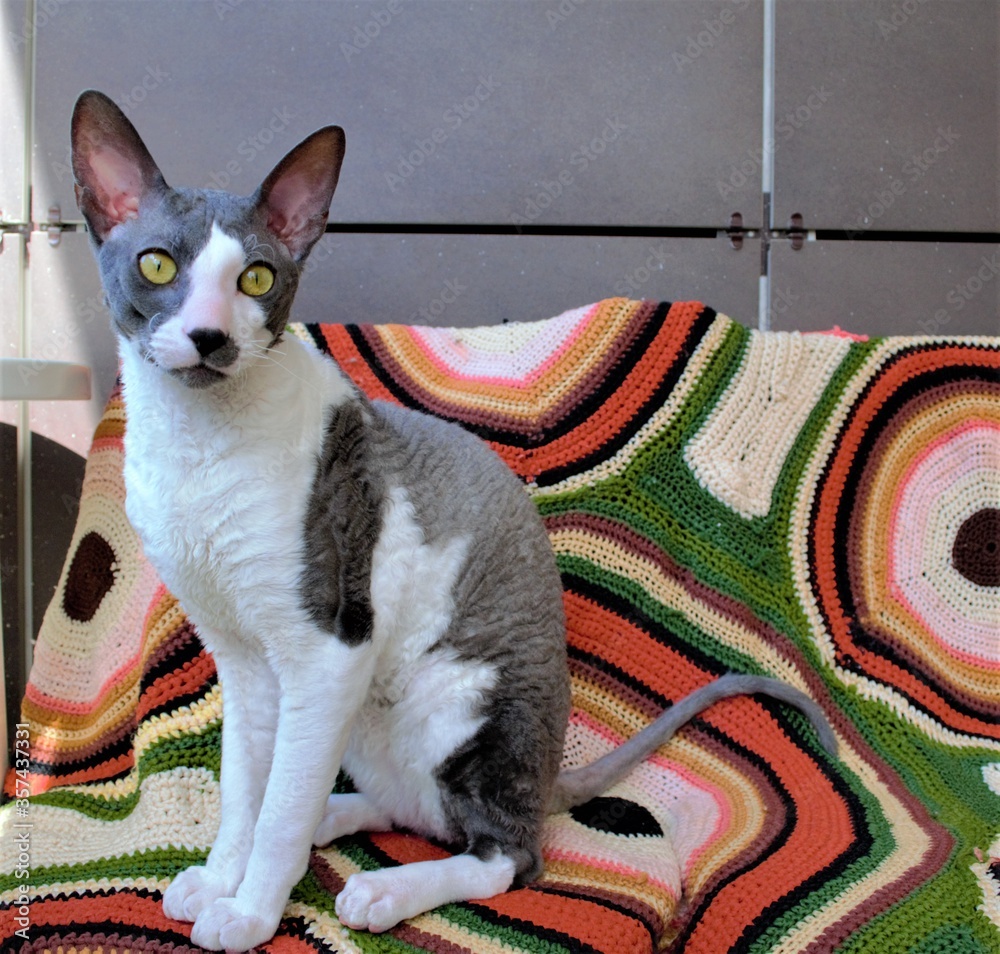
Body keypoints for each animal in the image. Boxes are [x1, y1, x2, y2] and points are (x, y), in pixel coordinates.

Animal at [68, 87, 836, 944]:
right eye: (157, 265)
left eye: (258, 279)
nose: (209, 337)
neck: (196, 445)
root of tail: (547, 775)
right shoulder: (240, 655)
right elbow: (247, 791)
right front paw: (222, 880)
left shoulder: (325, 648)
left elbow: (277, 810)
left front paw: (251, 913)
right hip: (368, 722)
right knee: (413, 809)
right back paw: (338, 824)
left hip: (461, 703)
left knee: (504, 852)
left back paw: (382, 889)